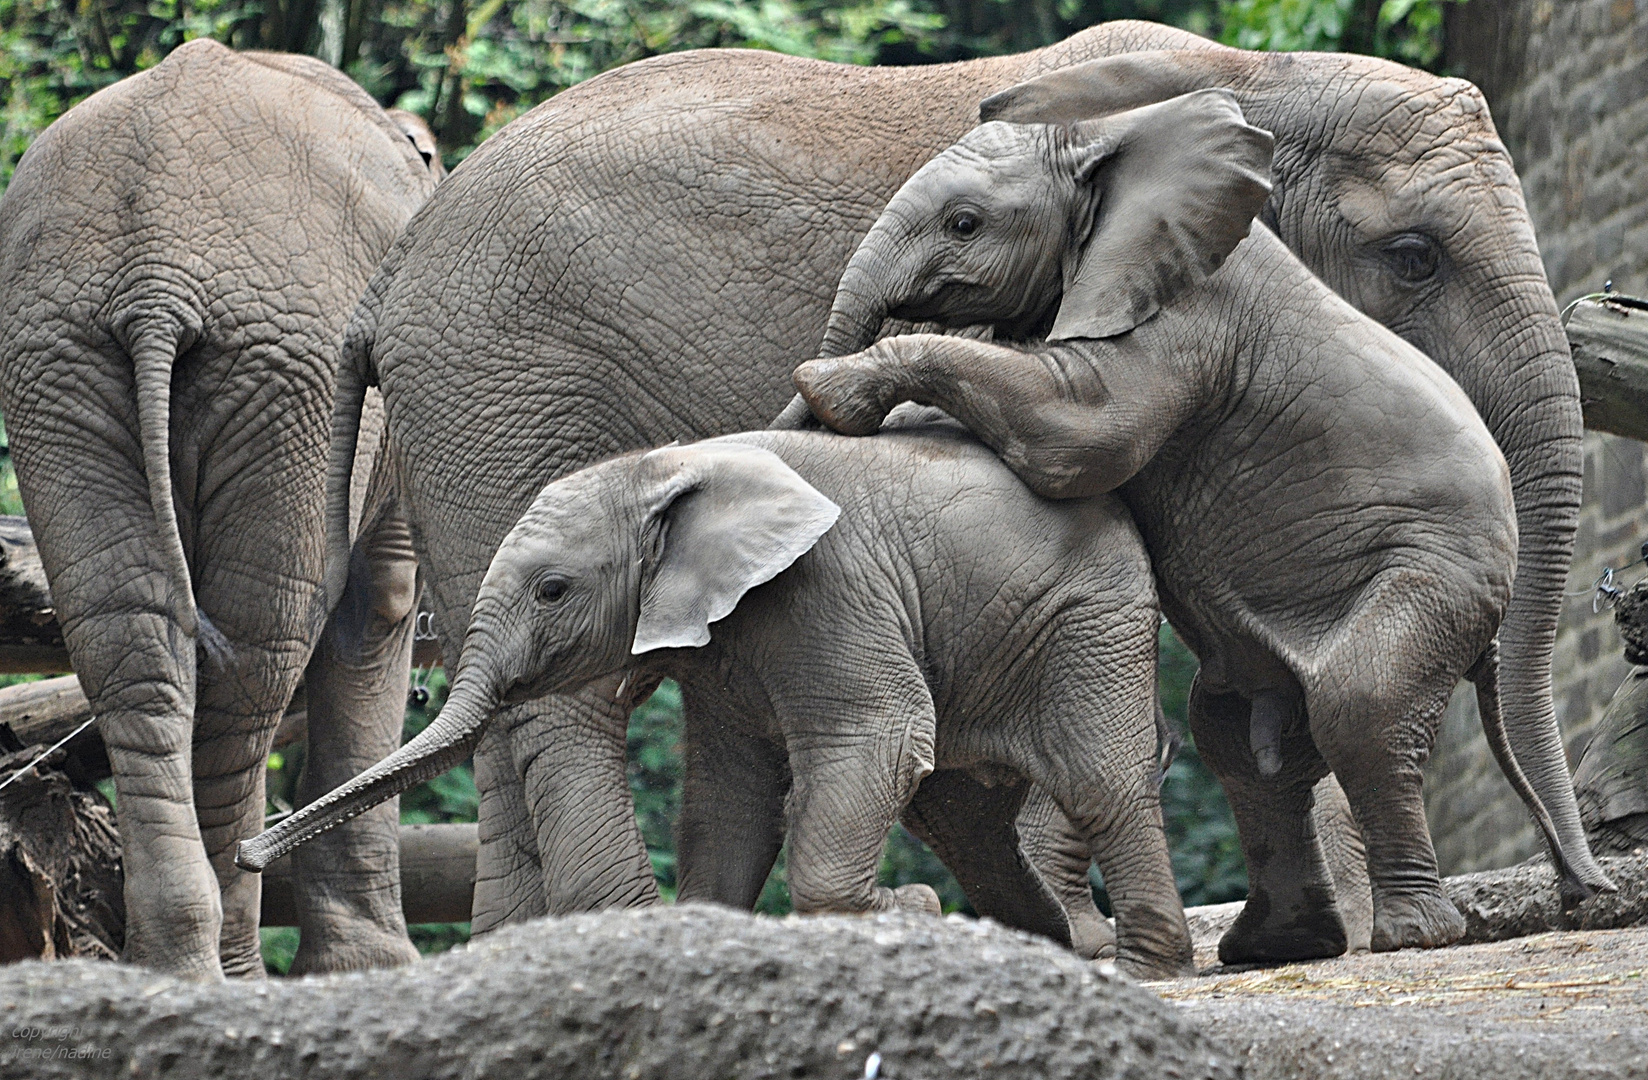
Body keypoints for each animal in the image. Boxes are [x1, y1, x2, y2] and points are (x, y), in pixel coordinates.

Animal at [0, 40, 438, 982]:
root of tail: (154, 274)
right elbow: (379, 606)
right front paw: (378, 971)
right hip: (287, 365)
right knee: (259, 650)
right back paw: (230, 971)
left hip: (58, 360)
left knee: (130, 638)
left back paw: (175, 966)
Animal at [243, 422, 1193, 982]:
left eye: (552, 591)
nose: (253, 855)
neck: (664, 470)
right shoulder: (726, 643)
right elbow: (729, 796)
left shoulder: (829, 584)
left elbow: (882, 736)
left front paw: (906, 914)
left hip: (1088, 624)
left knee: (1100, 786)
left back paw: (1149, 974)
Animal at [327, 16, 1601, 936]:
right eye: (1413, 258)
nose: (1584, 895)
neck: (1252, 79)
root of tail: (392, 271)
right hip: (507, 392)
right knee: (573, 699)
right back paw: (637, 931)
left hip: (469, 419)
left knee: (508, 714)